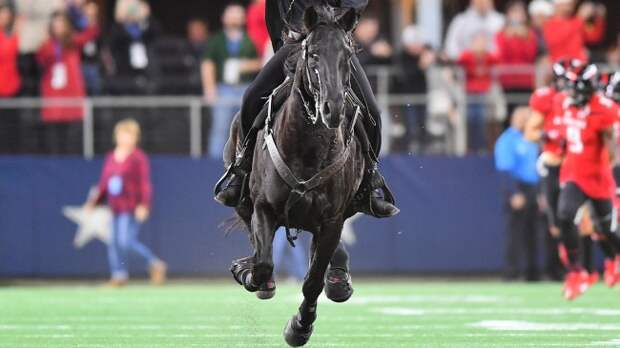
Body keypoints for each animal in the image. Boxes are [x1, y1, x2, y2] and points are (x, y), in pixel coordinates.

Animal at [220, 6, 380, 346]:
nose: (333, 108)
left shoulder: (332, 220)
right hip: (241, 198)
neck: (307, 149)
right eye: (313, 53)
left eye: (347, 54)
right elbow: (264, 263)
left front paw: (299, 327)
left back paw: (338, 279)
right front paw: (248, 272)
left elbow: (313, 280)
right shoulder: (264, 208)